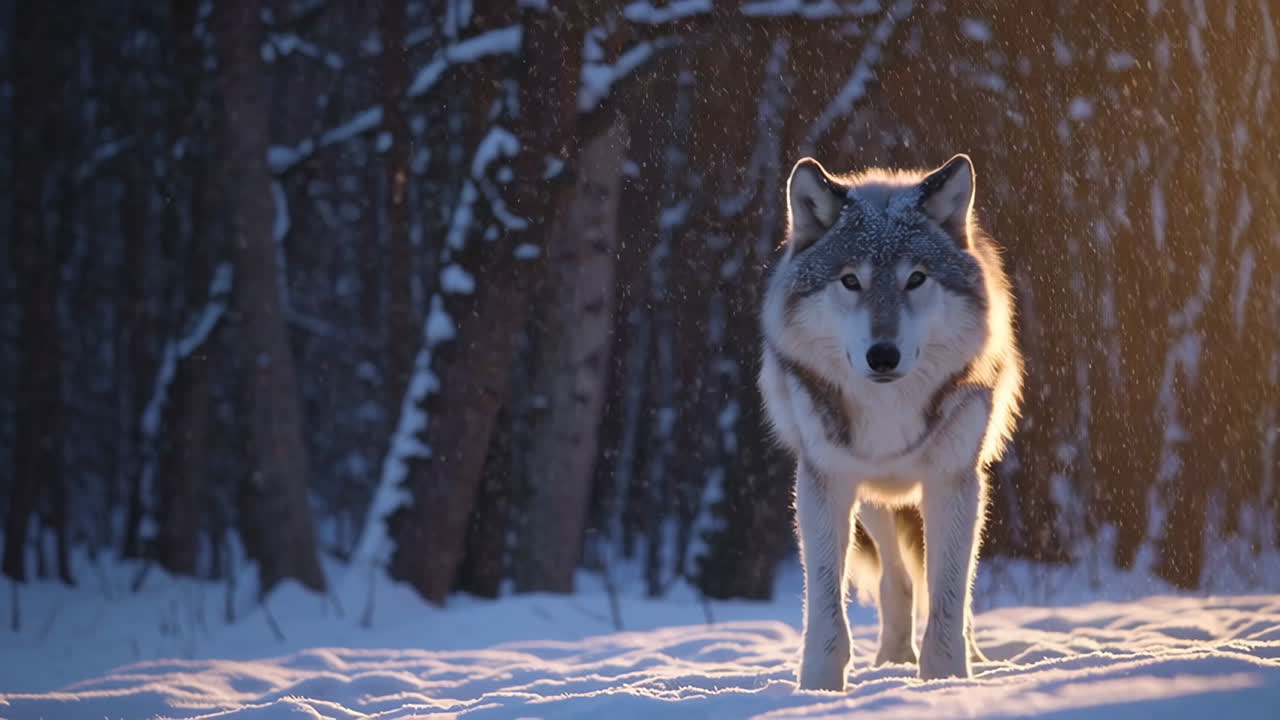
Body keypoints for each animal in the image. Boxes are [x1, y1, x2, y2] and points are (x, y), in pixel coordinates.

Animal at [758, 154, 1023, 690]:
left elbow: (948, 596)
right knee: (895, 581)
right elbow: (825, 602)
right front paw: (818, 686)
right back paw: (892, 658)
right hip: (874, 500)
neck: (888, 409)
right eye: (850, 281)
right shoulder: (826, 481)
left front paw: (945, 679)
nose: (883, 355)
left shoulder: (953, 482)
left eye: (916, 279)